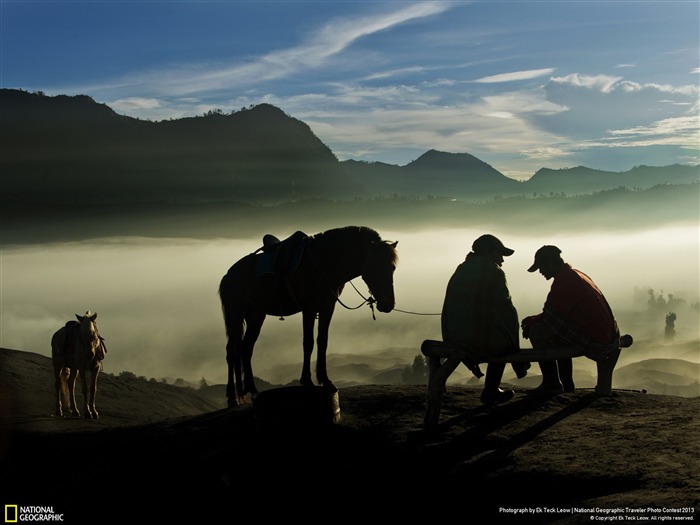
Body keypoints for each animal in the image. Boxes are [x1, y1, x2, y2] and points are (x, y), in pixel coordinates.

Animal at [219, 224, 396, 406]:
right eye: (374, 267)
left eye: (393, 268)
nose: (388, 304)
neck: (324, 263)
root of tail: (228, 275)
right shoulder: (309, 309)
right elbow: (308, 343)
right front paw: (307, 381)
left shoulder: (327, 308)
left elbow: (323, 342)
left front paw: (326, 380)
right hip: (235, 315)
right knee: (231, 351)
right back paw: (232, 397)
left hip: (256, 316)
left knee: (246, 348)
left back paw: (253, 390)